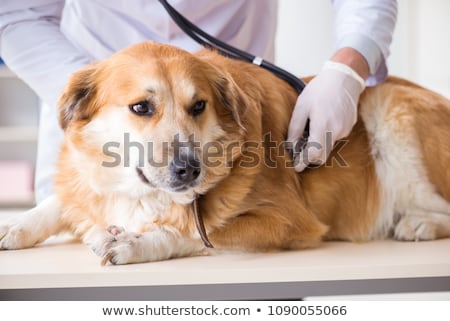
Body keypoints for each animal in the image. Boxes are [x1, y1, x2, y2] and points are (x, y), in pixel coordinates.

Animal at [0, 41, 450, 264]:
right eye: (141, 107)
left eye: (198, 105)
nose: (189, 171)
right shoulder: (86, 184)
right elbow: (61, 199)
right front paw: (15, 223)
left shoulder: (291, 221)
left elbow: (204, 232)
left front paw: (138, 241)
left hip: (391, 110)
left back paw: (419, 223)